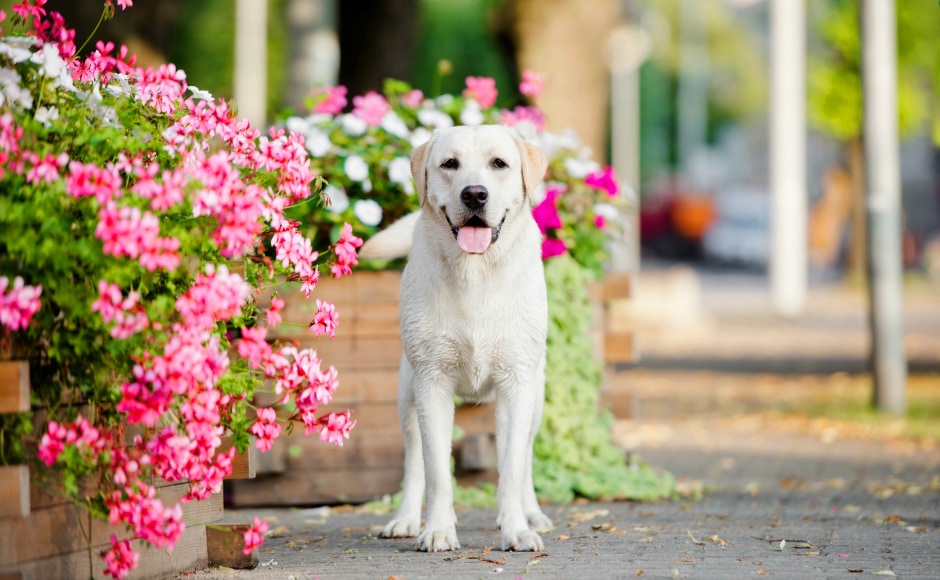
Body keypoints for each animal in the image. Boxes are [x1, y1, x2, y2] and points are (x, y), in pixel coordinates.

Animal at [358, 124, 552, 552]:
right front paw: (438, 530)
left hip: (535, 397)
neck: (475, 273)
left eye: (499, 163)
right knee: (414, 460)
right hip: (407, 395)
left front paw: (516, 529)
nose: (475, 194)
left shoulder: (517, 384)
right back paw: (405, 519)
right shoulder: (432, 382)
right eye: (450, 164)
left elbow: (512, 468)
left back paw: (532, 514)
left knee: (526, 457)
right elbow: (436, 472)